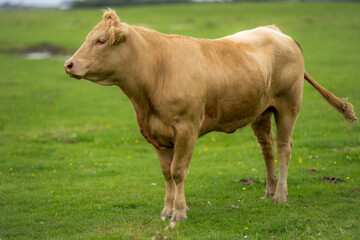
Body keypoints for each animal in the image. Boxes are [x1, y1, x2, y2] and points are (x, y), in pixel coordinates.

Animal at [64, 9, 358, 223]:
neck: (154, 73)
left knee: (285, 147)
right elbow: (167, 174)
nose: (69, 64)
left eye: (101, 40)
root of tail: (276, 32)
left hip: (288, 104)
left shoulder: (187, 128)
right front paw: (166, 210)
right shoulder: (156, 135)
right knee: (267, 148)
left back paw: (281, 195)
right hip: (261, 112)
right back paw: (269, 189)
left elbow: (178, 171)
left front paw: (179, 212)